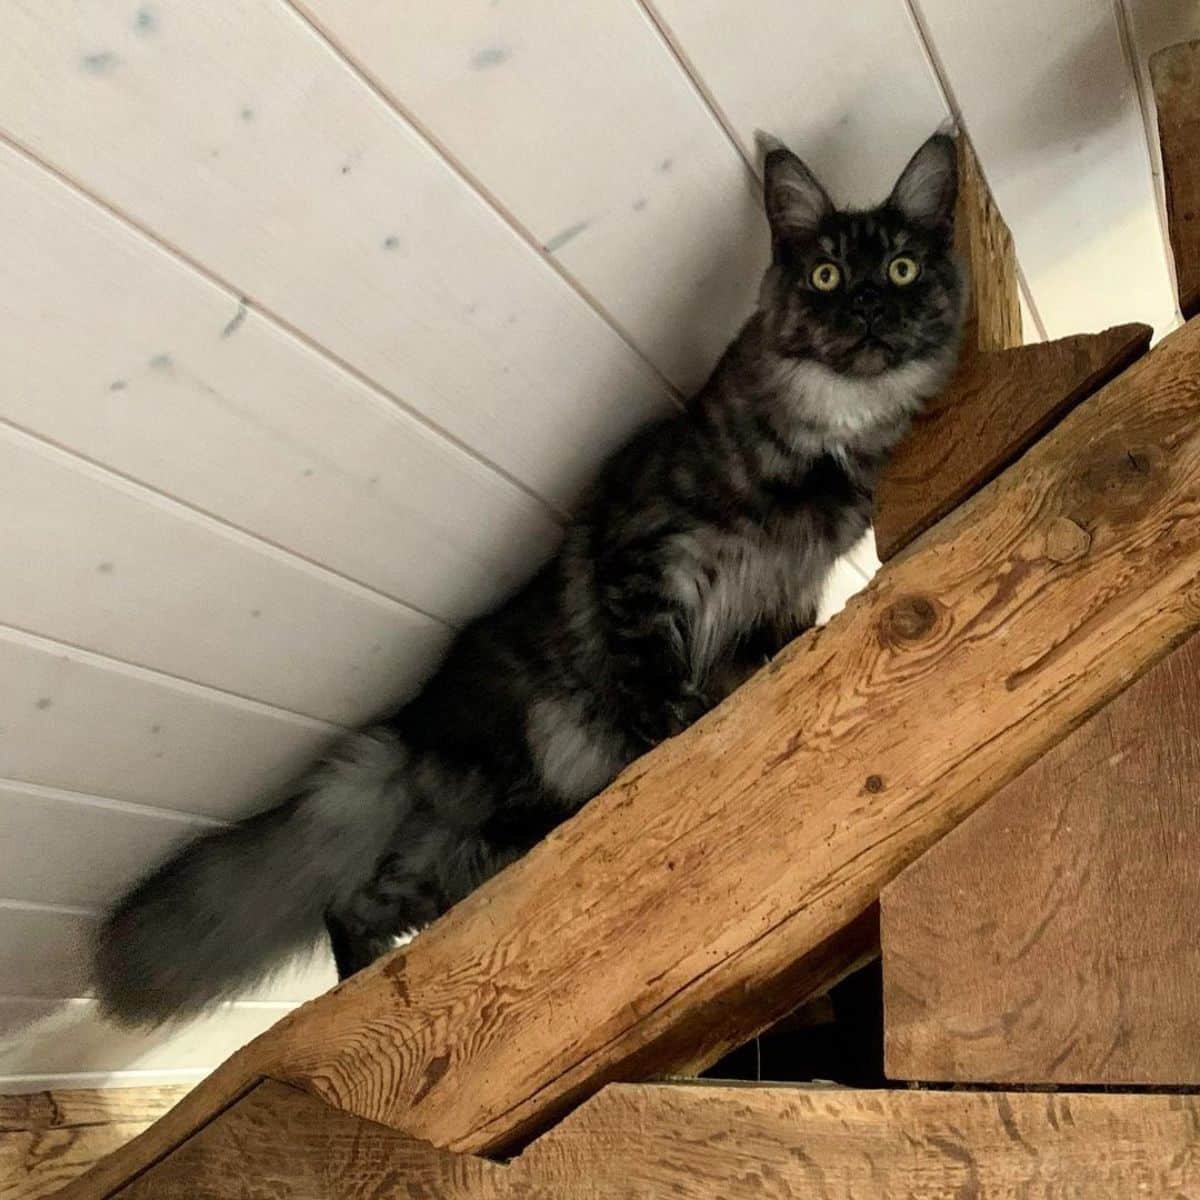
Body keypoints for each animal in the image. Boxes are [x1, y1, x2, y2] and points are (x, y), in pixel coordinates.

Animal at [98, 136, 969, 1027]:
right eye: (825, 276)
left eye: (901, 269)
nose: (866, 305)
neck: (822, 447)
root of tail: (406, 727)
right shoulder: (647, 559)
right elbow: (655, 677)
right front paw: (678, 733)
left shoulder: (777, 604)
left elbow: (757, 665)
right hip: (504, 771)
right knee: (350, 901)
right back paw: (357, 992)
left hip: (457, 848)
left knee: (365, 898)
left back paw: (375, 974)